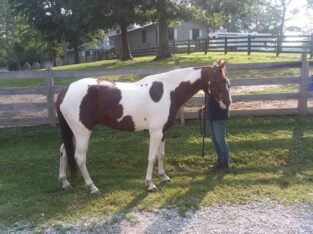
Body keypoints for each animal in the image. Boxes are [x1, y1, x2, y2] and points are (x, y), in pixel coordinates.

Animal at [54, 59, 230, 193]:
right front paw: (150, 184)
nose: (228, 103)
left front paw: (163, 177)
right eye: (220, 81)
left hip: (73, 132)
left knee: (63, 151)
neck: (168, 91)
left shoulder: (163, 132)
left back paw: (65, 182)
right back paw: (92, 187)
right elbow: (152, 157)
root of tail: (65, 91)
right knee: (79, 157)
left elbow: (161, 155)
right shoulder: (155, 132)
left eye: (227, 82)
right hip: (82, 132)